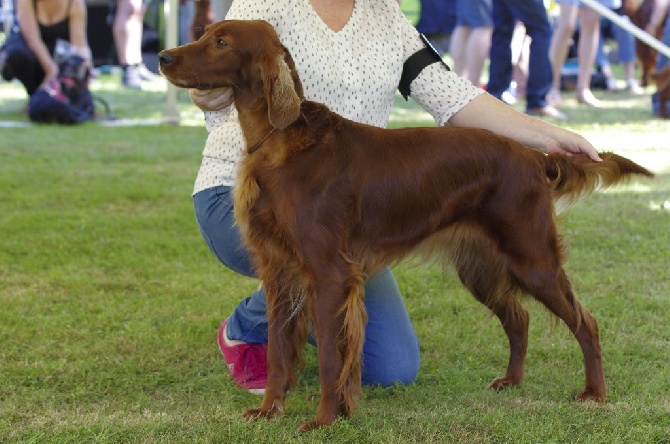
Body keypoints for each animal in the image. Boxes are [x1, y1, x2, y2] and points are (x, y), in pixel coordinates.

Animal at [159, 20, 656, 430]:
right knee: (518, 317)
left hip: (531, 258)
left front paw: (323, 420)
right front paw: (269, 411)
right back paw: (512, 381)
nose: (163, 57)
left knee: (585, 321)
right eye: (204, 34)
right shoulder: (279, 271)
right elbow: (281, 351)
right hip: (480, 266)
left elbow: (330, 358)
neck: (280, 141)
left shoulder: (328, 273)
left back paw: (594, 393)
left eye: (222, 42)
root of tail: (534, 156)